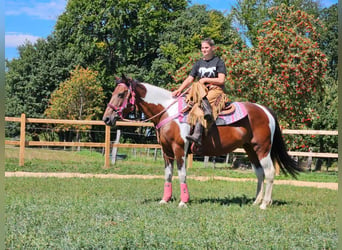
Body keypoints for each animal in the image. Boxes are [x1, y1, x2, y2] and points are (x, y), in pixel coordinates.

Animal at [103, 75, 300, 209]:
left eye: (121, 94)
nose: (106, 118)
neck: (168, 112)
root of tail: (266, 110)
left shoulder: (179, 149)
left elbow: (182, 174)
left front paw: (183, 202)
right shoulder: (166, 151)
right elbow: (168, 175)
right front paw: (165, 200)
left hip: (263, 149)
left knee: (270, 173)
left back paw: (265, 204)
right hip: (250, 149)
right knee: (260, 174)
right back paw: (256, 201)